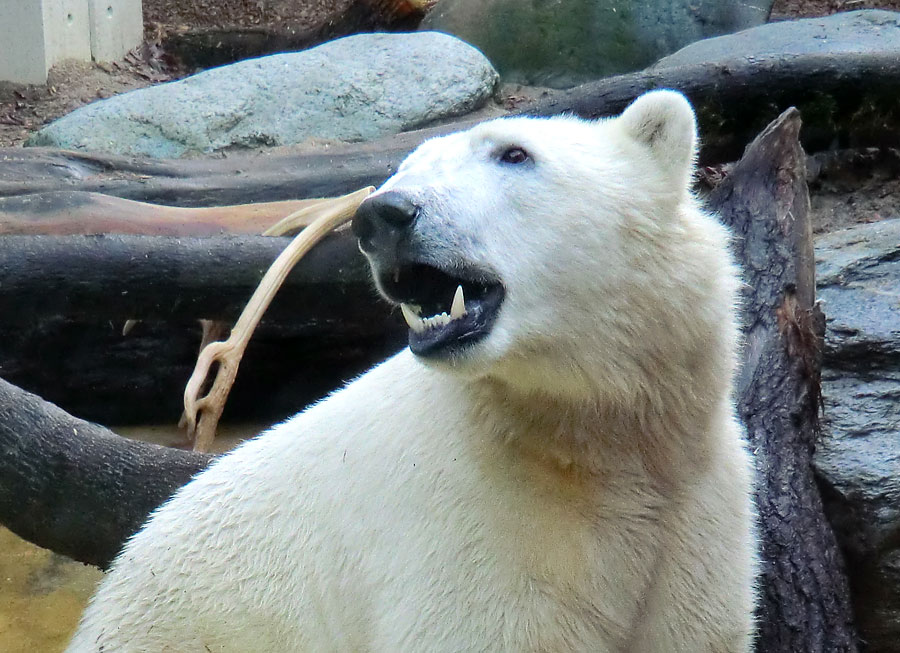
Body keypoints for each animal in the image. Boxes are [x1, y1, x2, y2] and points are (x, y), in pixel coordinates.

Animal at [65, 90, 760, 652]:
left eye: (515, 154)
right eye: (403, 169)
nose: (383, 214)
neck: (588, 438)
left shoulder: (696, 510)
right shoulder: (479, 527)